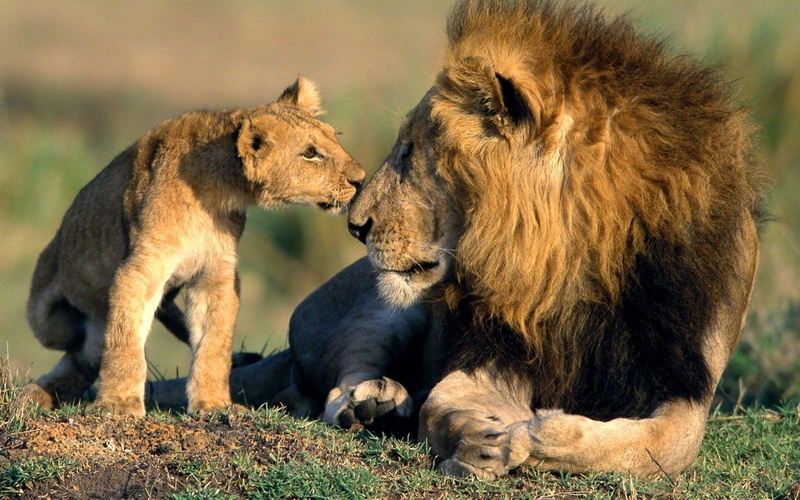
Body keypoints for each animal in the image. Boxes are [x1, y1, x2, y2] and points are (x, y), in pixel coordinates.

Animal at [22, 76, 365, 417]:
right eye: (310, 153)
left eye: (334, 138)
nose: (361, 180)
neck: (215, 193)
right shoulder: (140, 269)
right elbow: (124, 338)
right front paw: (119, 402)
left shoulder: (215, 275)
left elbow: (213, 344)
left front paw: (213, 403)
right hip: (48, 320)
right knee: (79, 347)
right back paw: (34, 394)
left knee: (86, 357)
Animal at [147, 0, 766, 479]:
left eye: (410, 152)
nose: (355, 225)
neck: (572, 265)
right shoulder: (491, 351)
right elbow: (443, 404)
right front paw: (482, 436)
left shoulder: (686, 379)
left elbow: (667, 445)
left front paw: (540, 436)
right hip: (378, 304)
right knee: (335, 381)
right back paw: (374, 405)